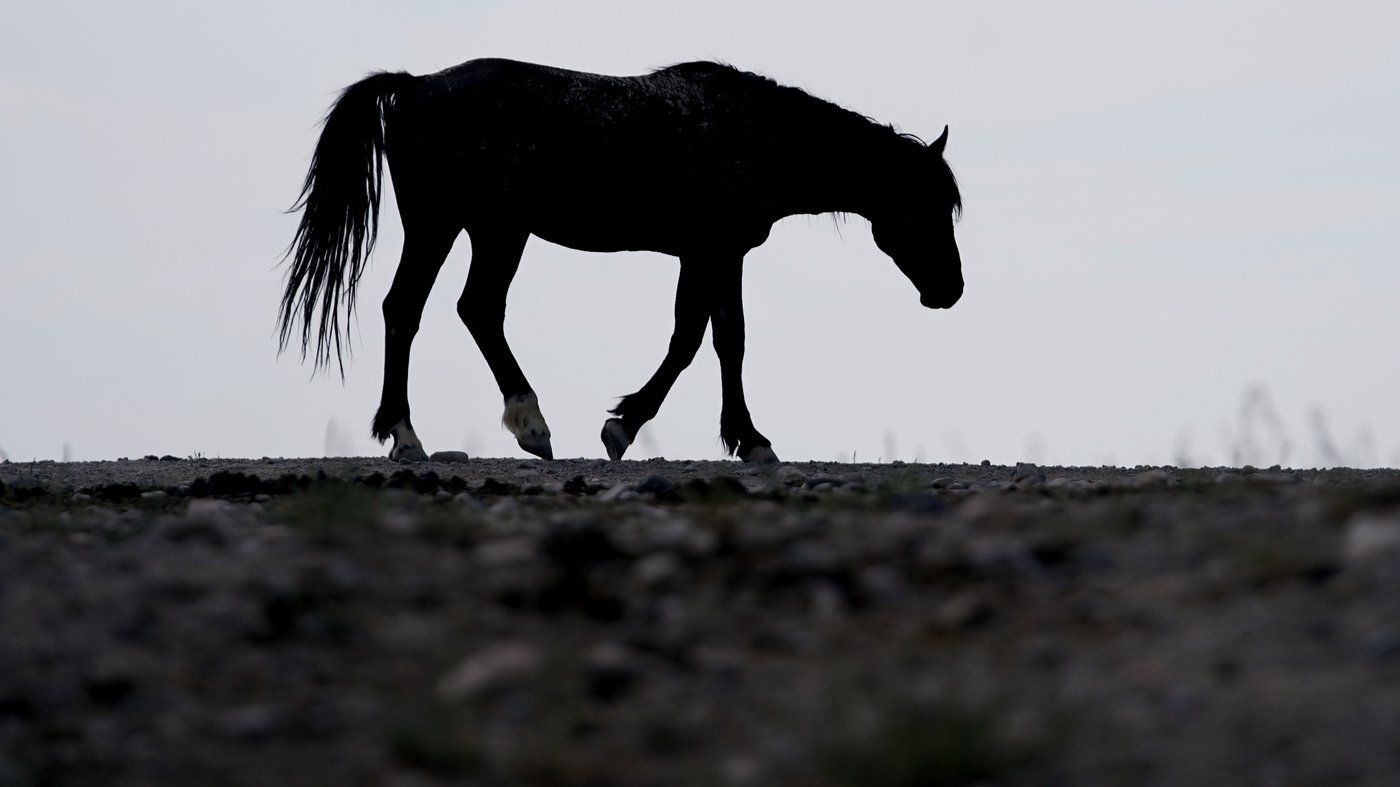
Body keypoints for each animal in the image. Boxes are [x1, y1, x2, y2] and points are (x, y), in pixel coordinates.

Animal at [279, 58, 963, 463]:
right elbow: (707, 341)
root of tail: (415, 85)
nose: (950, 291)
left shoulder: (710, 256)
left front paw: (705, 432)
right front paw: (677, 432)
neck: (753, 133)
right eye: (926, 205)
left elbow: (709, 338)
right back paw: (473, 429)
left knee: (439, 310)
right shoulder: (715, 252)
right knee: (443, 310)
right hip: (467, 229)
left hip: (474, 230)